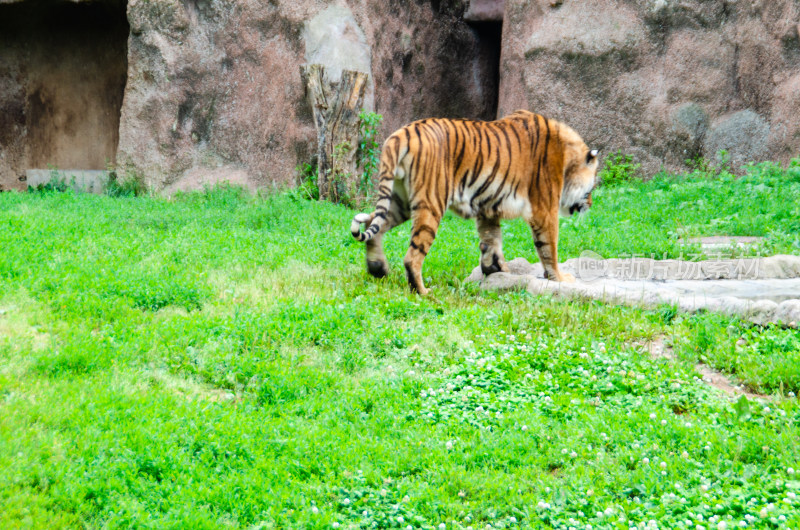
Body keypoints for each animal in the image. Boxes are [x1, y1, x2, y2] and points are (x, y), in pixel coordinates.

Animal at [350, 110, 600, 294]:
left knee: (374, 224)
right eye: (592, 187)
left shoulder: (487, 207)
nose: (590, 203)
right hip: (431, 203)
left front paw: (495, 269)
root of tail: (402, 133)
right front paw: (559, 278)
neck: (567, 156)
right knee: (412, 256)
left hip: (399, 200)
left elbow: (491, 240)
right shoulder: (544, 209)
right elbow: (549, 247)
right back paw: (422, 291)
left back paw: (378, 269)